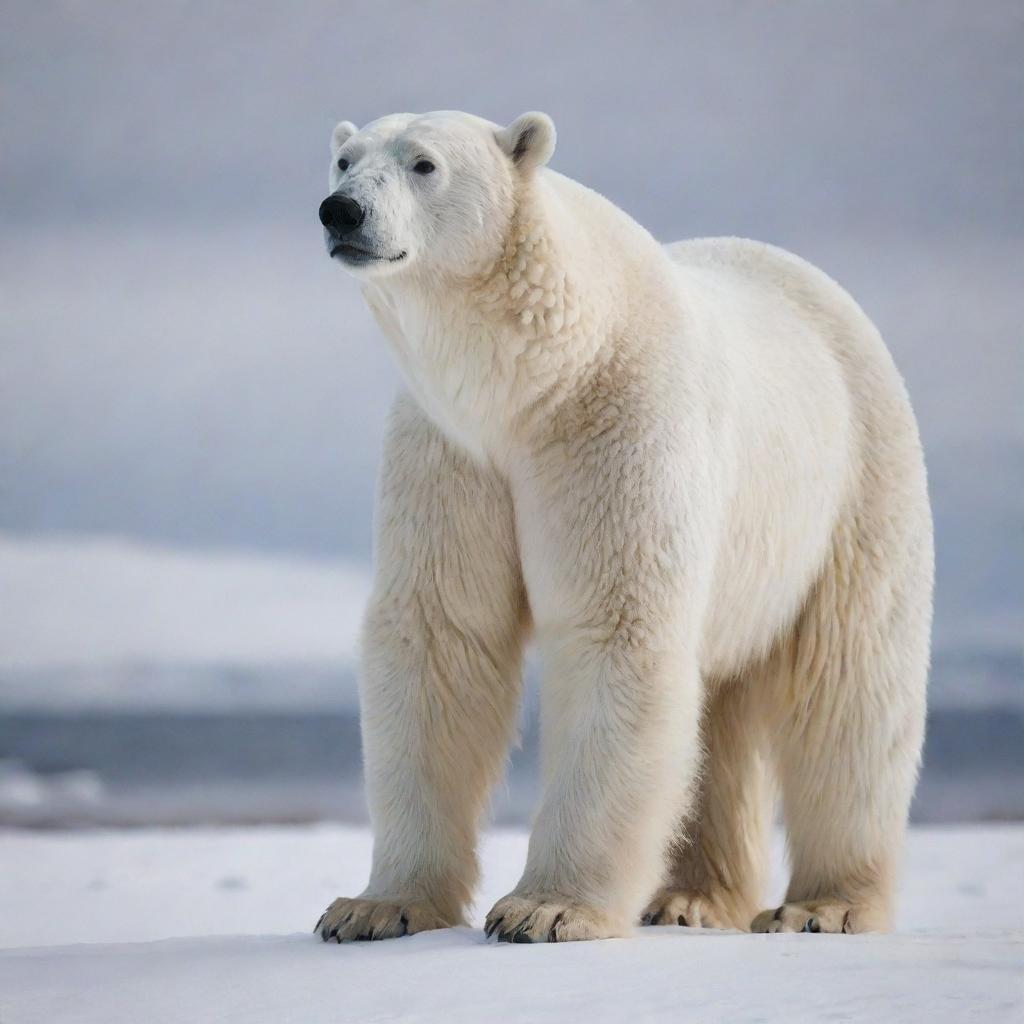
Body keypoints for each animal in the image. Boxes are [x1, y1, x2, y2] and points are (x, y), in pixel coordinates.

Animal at [313, 112, 937, 942]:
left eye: (424, 164)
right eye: (344, 159)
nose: (342, 212)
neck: (537, 381)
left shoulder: (618, 425)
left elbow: (614, 625)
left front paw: (545, 909)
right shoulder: (452, 453)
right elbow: (441, 633)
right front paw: (374, 907)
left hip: (856, 483)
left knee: (850, 689)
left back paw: (822, 904)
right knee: (716, 711)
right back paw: (691, 899)